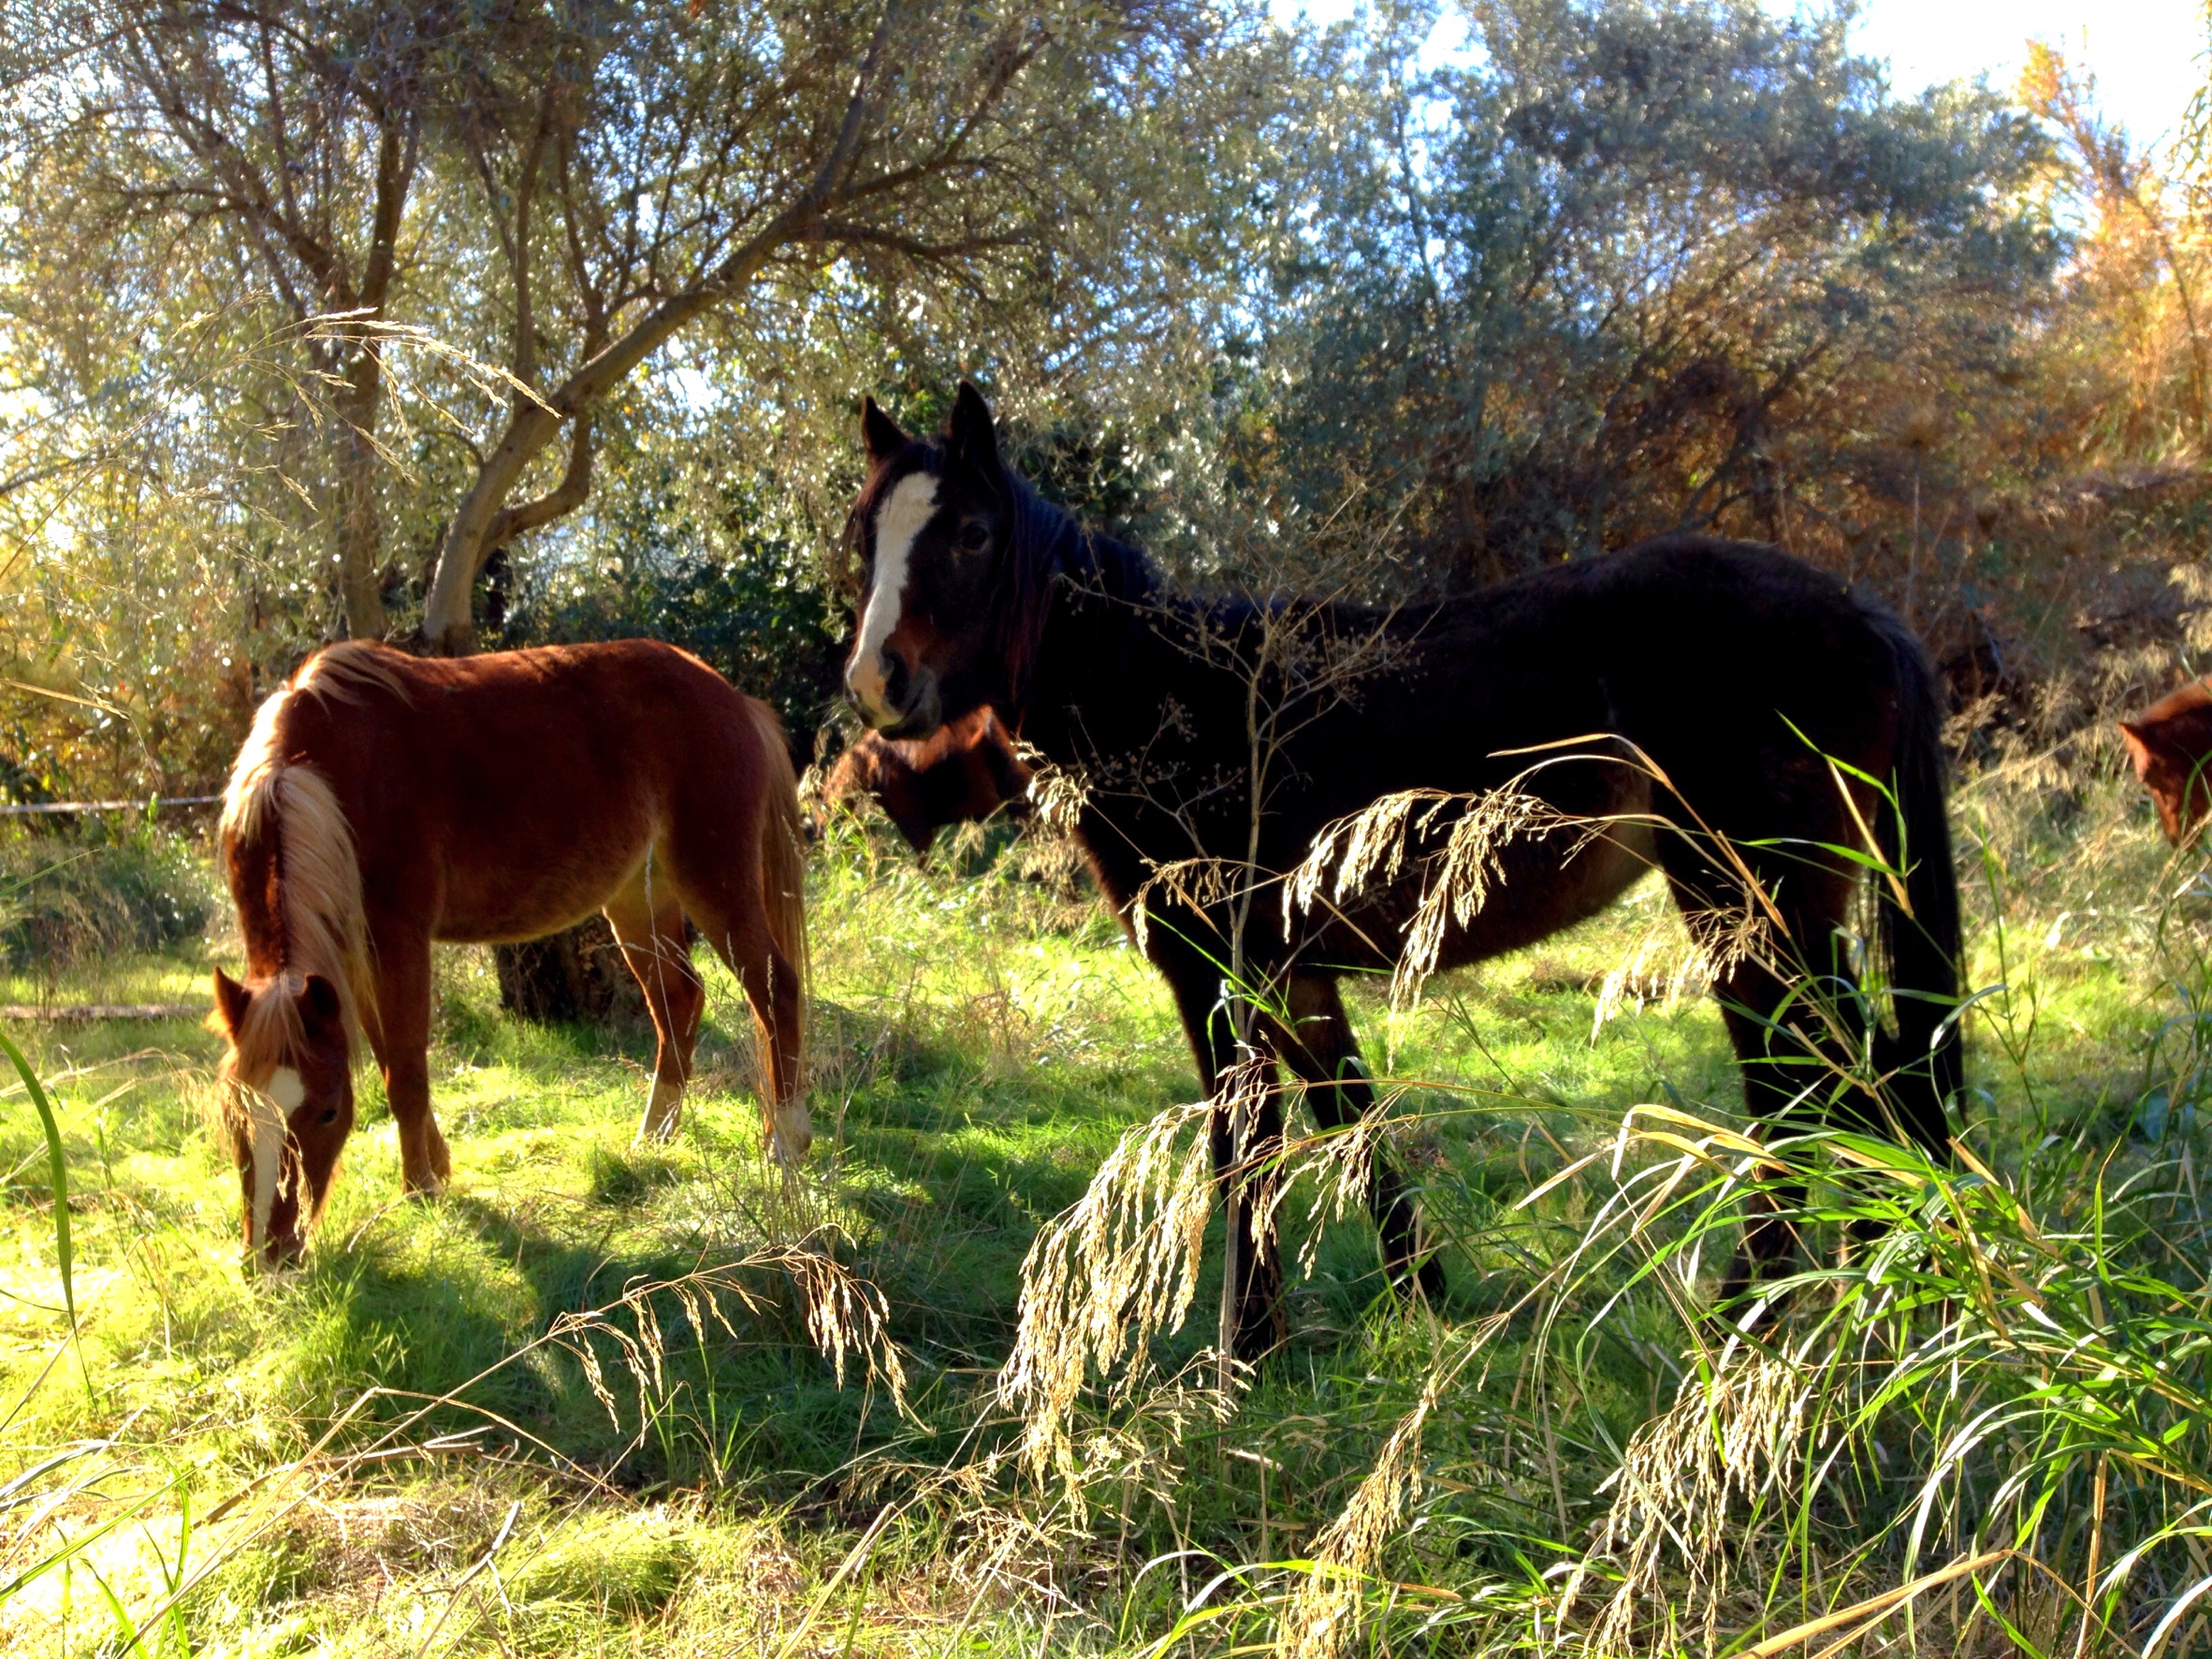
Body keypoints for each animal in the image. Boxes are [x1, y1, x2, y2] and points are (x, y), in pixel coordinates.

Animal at [210, 639, 810, 1267]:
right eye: (233, 1114)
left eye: (327, 1111)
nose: (267, 1257)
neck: (325, 776)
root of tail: (733, 699)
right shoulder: (355, 963)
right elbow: (391, 1063)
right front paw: (437, 1170)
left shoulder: (396, 942)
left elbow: (405, 1075)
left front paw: (420, 1190)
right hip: (637, 900)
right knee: (679, 1001)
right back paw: (652, 1139)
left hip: (713, 882)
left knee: (775, 991)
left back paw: (786, 1145)